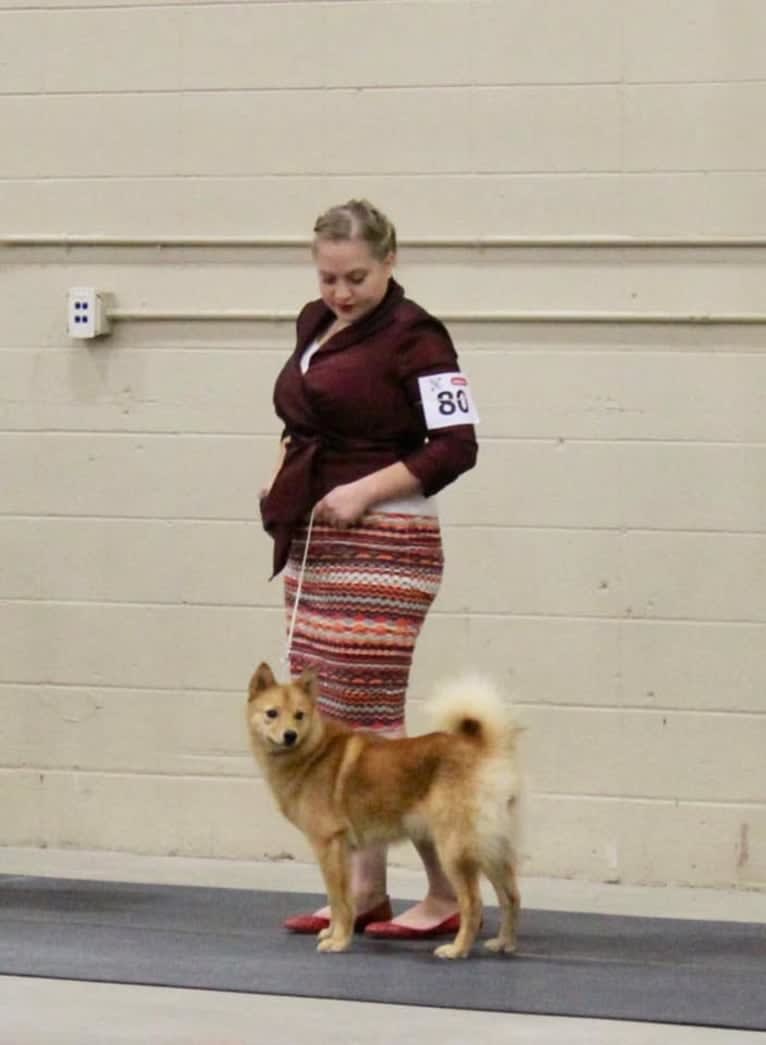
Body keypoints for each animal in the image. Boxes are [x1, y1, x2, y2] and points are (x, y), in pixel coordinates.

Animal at [247, 664, 522, 957]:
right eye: (272, 713)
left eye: (299, 715)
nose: (290, 735)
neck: (313, 752)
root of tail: (484, 750)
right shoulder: (339, 852)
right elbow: (337, 899)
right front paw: (332, 932)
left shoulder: (330, 846)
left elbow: (340, 901)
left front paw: (339, 941)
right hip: (490, 848)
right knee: (511, 897)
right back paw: (504, 943)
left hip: (454, 850)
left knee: (473, 903)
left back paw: (457, 949)